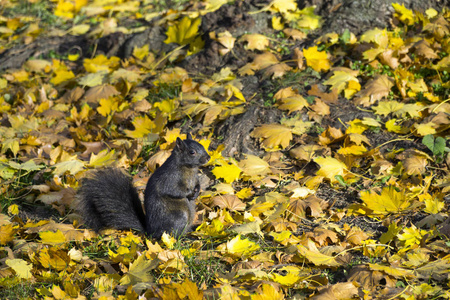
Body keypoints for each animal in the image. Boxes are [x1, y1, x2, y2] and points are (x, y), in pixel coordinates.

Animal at [76, 135, 210, 238]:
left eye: (203, 146)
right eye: (192, 152)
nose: (208, 158)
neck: (189, 168)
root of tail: (150, 232)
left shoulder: (194, 177)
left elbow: (197, 183)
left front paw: (197, 190)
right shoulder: (170, 179)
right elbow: (175, 191)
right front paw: (190, 193)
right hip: (179, 216)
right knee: (170, 235)